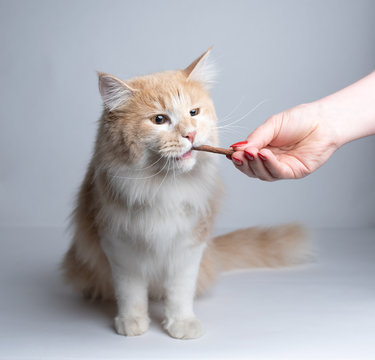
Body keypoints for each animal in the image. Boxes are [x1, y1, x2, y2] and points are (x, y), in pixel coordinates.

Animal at [62, 50, 308, 340]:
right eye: (159, 120)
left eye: (194, 112)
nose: (190, 134)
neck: (165, 186)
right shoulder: (120, 245)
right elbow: (131, 293)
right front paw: (132, 322)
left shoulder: (189, 244)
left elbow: (179, 292)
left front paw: (181, 324)